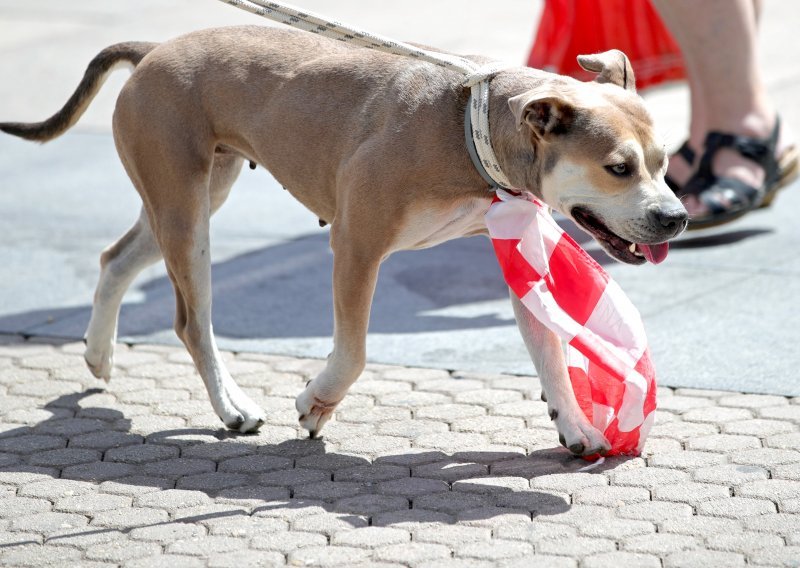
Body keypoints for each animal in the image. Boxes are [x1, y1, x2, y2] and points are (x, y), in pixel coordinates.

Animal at [1, 25, 688, 458]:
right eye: (619, 168)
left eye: (663, 161)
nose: (676, 218)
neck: (469, 127)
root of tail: (153, 50)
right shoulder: (357, 244)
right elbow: (354, 352)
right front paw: (316, 403)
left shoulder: (515, 246)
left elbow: (548, 351)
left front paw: (573, 425)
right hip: (185, 211)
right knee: (192, 321)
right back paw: (231, 407)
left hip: (190, 195)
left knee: (115, 258)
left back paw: (97, 353)